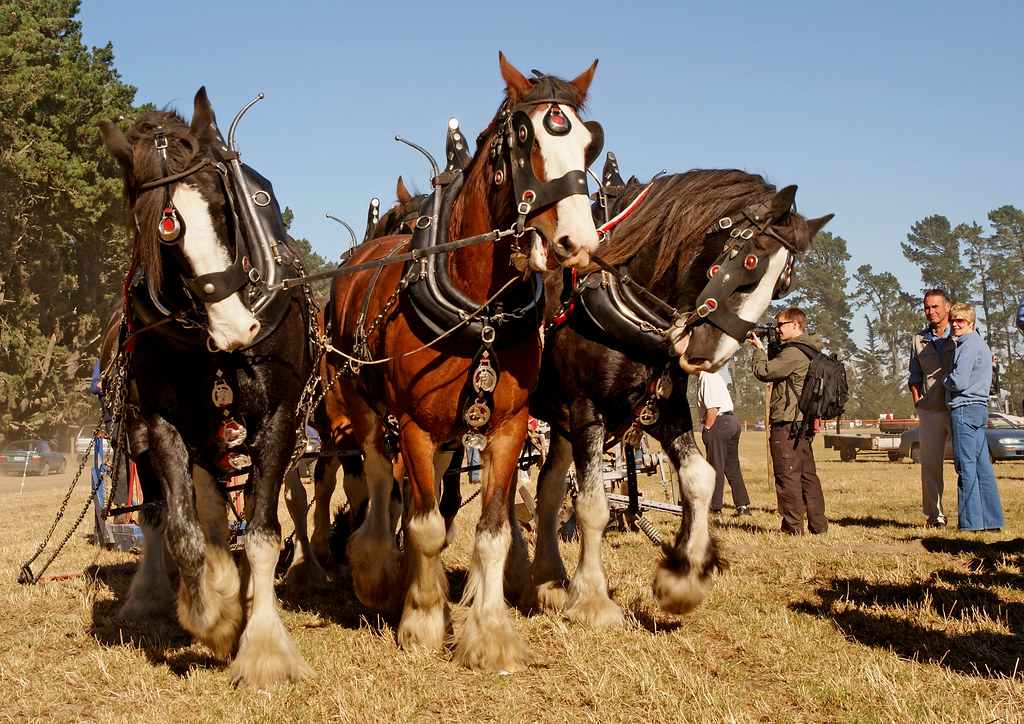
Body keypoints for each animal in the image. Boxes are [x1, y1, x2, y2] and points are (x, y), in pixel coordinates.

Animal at [97, 88, 315, 688]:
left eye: (223, 203)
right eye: (157, 230)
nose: (237, 327)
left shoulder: (280, 419)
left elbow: (262, 533)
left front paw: (263, 647)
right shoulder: (161, 424)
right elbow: (185, 533)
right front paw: (215, 619)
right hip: (144, 434)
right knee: (163, 515)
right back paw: (158, 594)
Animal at [327, 53, 603, 672]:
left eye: (588, 143)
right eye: (525, 141)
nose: (577, 242)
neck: (482, 313)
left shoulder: (507, 428)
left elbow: (492, 531)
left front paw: (490, 635)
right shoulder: (413, 426)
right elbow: (426, 524)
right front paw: (425, 621)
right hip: (362, 408)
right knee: (377, 480)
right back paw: (380, 573)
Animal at [520, 168, 833, 626]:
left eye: (782, 284)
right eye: (751, 263)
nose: (706, 356)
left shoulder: (664, 409)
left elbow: (701, 478)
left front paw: (682, 579)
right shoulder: (586, 410)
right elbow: (592, 503)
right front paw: (594, 600)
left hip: (557, 425)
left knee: (546, 492)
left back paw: (545, 580)